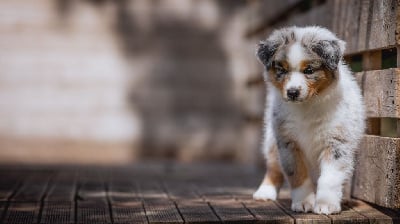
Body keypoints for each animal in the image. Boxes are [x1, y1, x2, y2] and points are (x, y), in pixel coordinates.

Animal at [253, 26, 366, 215]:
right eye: (282, 70)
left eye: (309, 71)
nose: (292, 92)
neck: (307, 105)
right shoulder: (287, 142)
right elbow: (297, 174)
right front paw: (303, 202)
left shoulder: (337, 142)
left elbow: (330, 177)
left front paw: (326, 204)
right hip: (271, 139)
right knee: (273, 166)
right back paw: (264, 192)